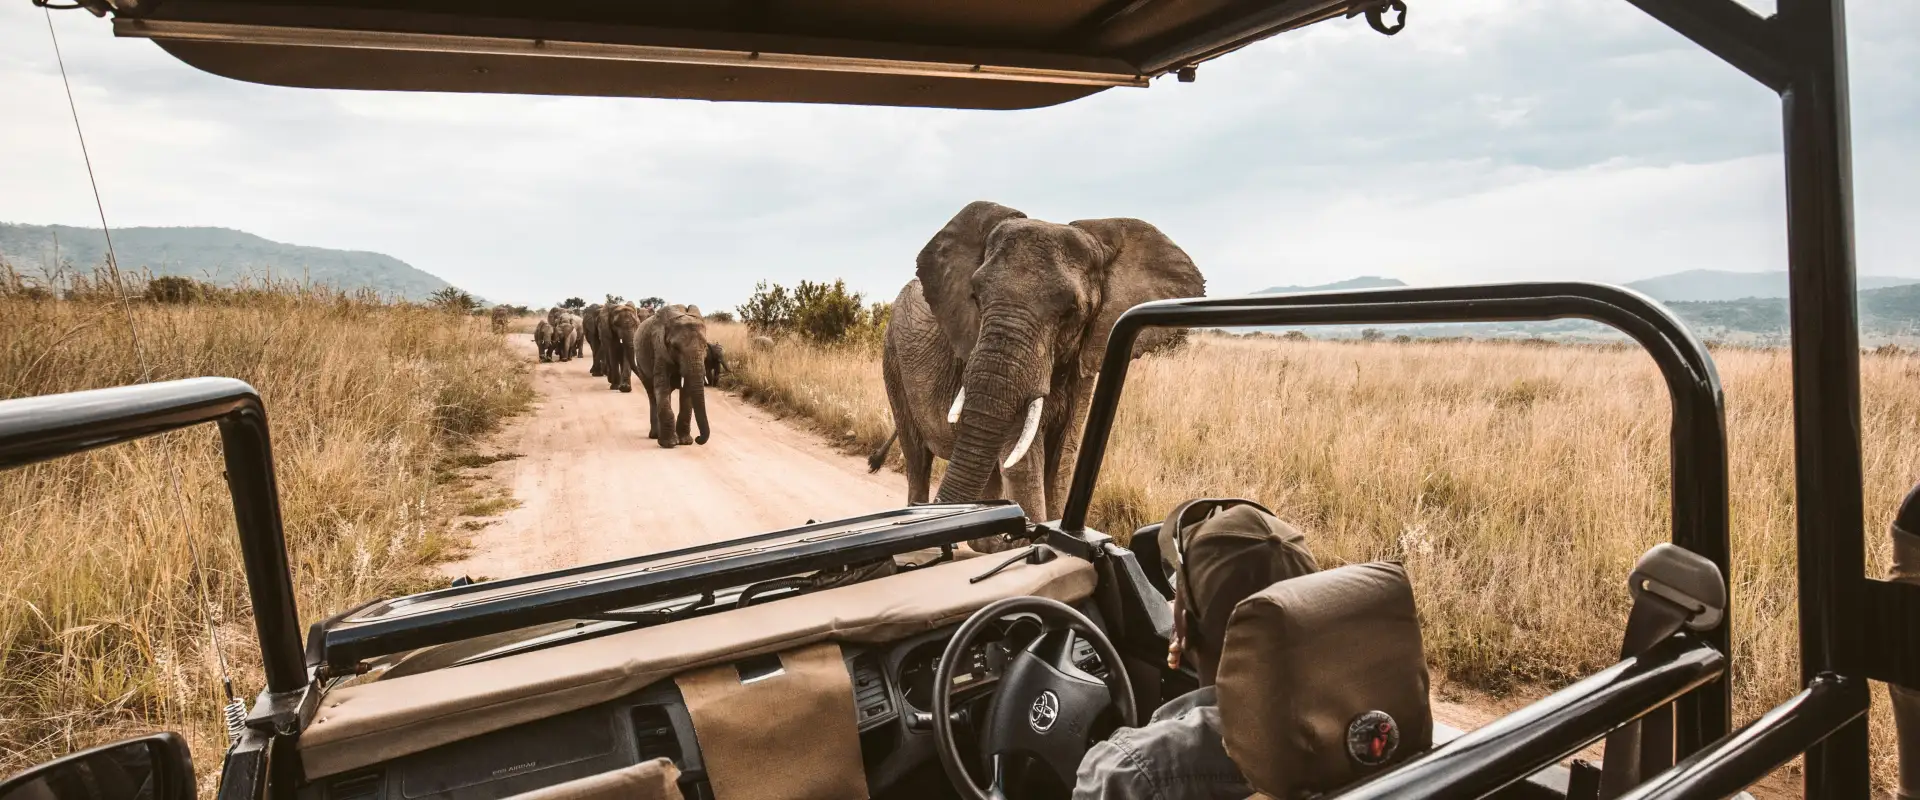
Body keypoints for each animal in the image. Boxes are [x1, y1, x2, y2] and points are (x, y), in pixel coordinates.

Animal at [636, 304, 712, 448]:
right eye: (675, 348)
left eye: (705, 346)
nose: (699, 438)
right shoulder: (659, 348)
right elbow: (662, 385)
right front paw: (669, 444)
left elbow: (687, 391)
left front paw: (685, 442)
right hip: (640, 365)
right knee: (652, 394)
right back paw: (655, 436)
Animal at [874, 201, 1204, 549]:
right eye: (975, 296)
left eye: (1072, 311)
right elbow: (1022, 463)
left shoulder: (1086, 359)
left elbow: (1062, 459)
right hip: (893, 359)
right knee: (917, 456)